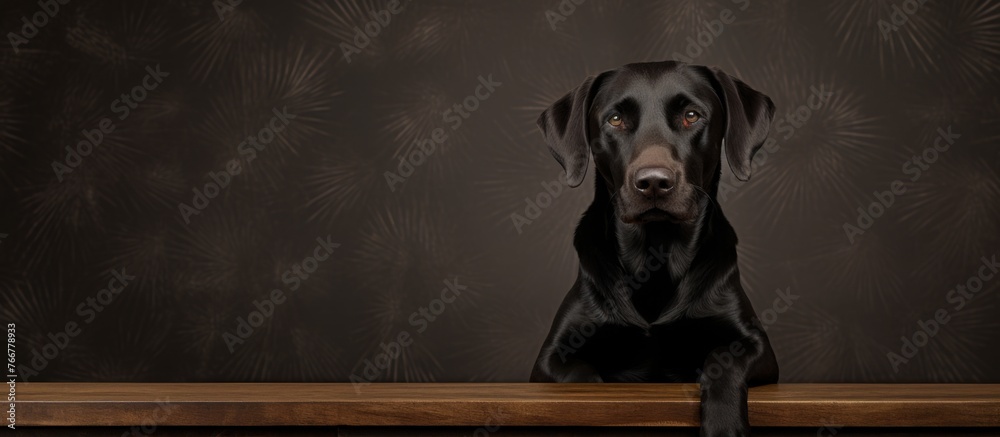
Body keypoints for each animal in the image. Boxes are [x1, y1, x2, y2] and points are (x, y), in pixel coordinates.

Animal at [532, 59, 780, 434]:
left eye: (691, 115)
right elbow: (582, 380)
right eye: (615, 119)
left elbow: (723, 359)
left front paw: (724, 424)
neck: (655, 253)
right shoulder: (551, 355)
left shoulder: (756, 344)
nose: (653, 182)